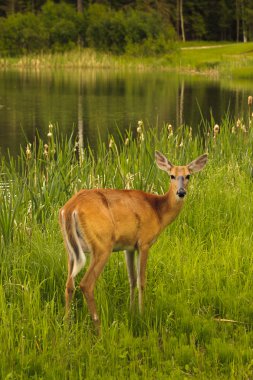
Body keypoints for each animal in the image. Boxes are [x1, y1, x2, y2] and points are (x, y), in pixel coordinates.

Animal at [59, 151, 208, 330]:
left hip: (71, 250)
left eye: (188, 176)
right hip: (102, 245)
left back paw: (67, 325)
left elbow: (132, 279)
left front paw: (131, 312)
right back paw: (98, 327)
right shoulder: (144, 243)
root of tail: (70, 208)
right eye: (171, 175)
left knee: (69, 285)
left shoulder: (128, 247)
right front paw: (142, 314)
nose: (181, 192)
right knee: (86, 284)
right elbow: (142, 281)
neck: (158, 212)